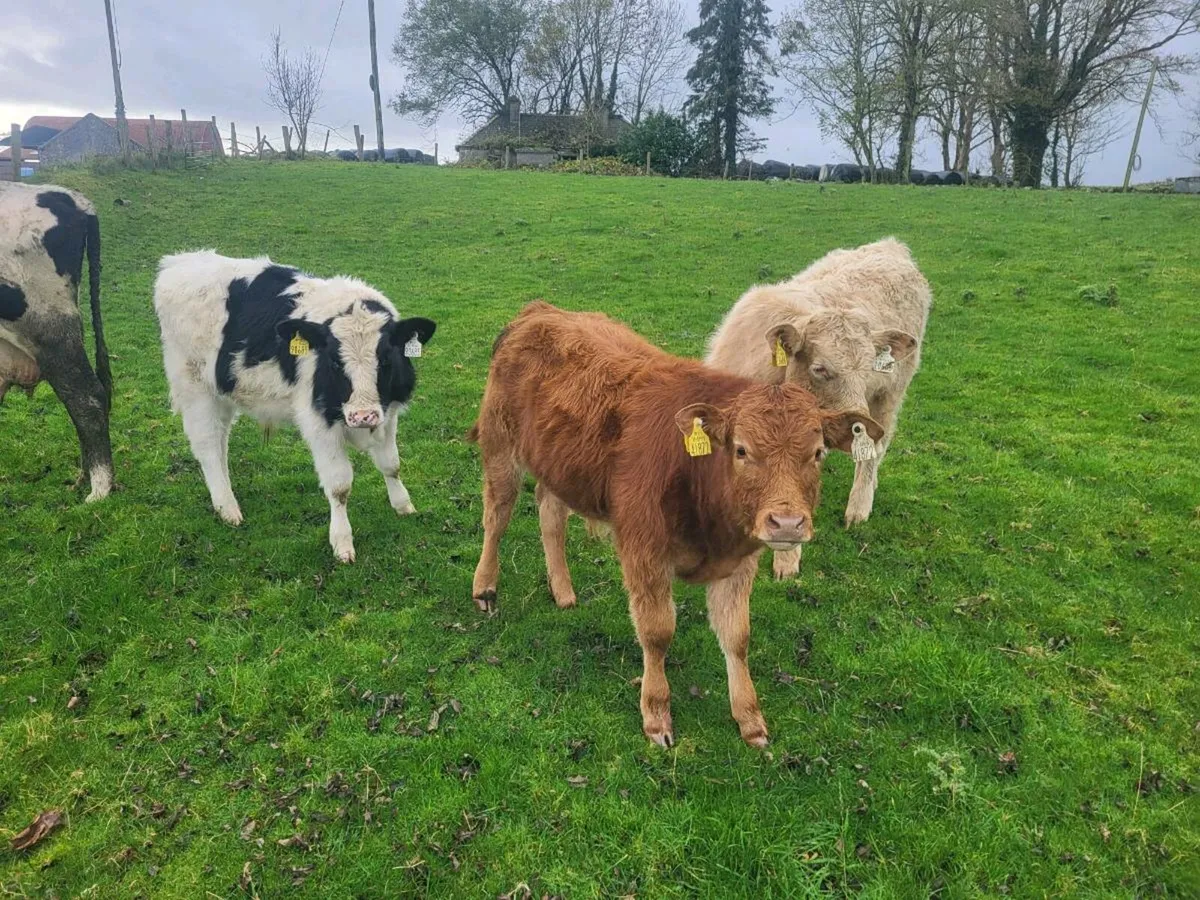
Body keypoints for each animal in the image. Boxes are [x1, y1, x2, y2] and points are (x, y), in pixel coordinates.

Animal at [152, 251, 436, 562]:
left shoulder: (388, 413)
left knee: (220, 442)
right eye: (334, 361)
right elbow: (339, 485)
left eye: (386, 359)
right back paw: (227, 507)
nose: (363, 416)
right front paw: (342, 542)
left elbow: (391, 465)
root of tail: (181, 261)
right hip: (194, 387)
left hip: (222, 393)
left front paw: (403, 505)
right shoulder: (318, 423)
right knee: (207, 446)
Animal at [467, 301, 882, 747]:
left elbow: (737, 636)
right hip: (500, 446)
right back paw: (485, 586)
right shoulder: (643, 551)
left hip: (559, 466)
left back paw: (563, 590)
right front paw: (656, 714)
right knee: (496, 516)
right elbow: (657, 632)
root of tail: (540, 311)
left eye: (818, 452)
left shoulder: (740, 563)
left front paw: (749, 718)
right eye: (741, 450)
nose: (786, 523)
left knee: (550, 514)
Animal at [706, 237, 931, 580]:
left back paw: (859, 506)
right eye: (820, 369)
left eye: (869, 367)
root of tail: (891, 246)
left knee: (876, 450)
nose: (858, 423)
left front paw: (786, 562)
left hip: (890, 394)